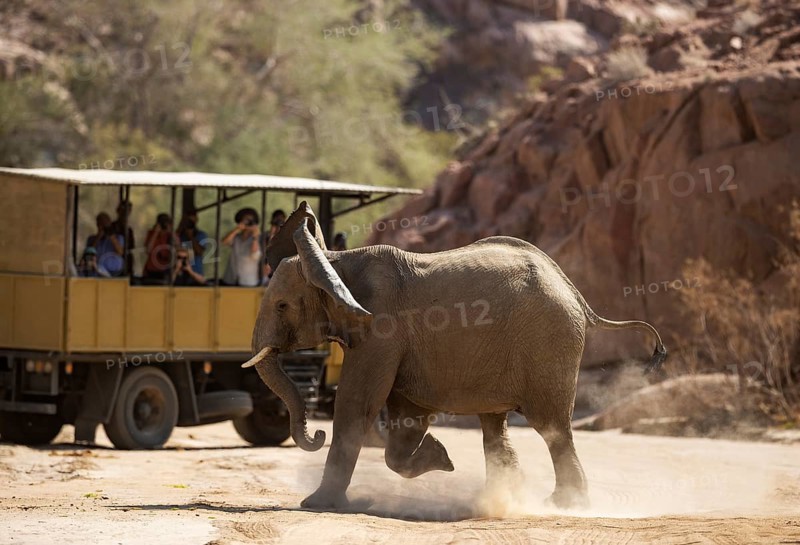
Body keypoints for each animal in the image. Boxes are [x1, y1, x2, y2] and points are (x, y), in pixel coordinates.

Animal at [243, 202, 667, 510]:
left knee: (551, 427)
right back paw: (508, 498)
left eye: (282, 306)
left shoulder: (381, 329)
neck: (336, 260)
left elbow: (356, 405)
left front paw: (315, 505)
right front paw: (440, 456)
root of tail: (573, 290)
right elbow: (405, 414)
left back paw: (563, 505)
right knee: (495, 427)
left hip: (549, 342)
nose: (314, 434)